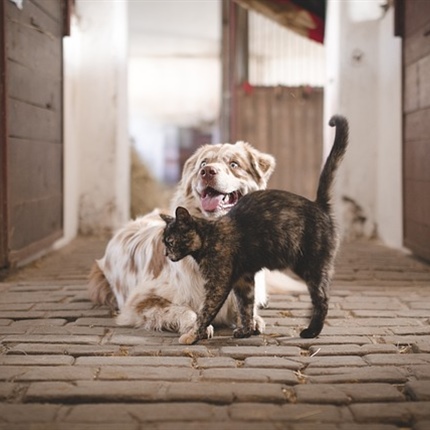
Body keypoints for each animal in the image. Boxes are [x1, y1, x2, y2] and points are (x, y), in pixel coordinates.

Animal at [88, 139, 290, 334]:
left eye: (234, 164)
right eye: (203, 163)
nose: (206, 172)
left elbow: (245, 306)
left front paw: (252, 320)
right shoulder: (140, 301)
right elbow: (184, 310)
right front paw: (195, 326)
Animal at [160, 115, 348, 346]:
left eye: (170, 241)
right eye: (164, 242)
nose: (166, 254)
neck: (209, 237)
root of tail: (318, 204)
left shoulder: (218, 284)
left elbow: (205, 312)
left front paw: (193, 335)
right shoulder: (244, 280)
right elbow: (246, 306)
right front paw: (246, 330)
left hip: (311, 266)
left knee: (322, 299)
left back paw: (311, 331)